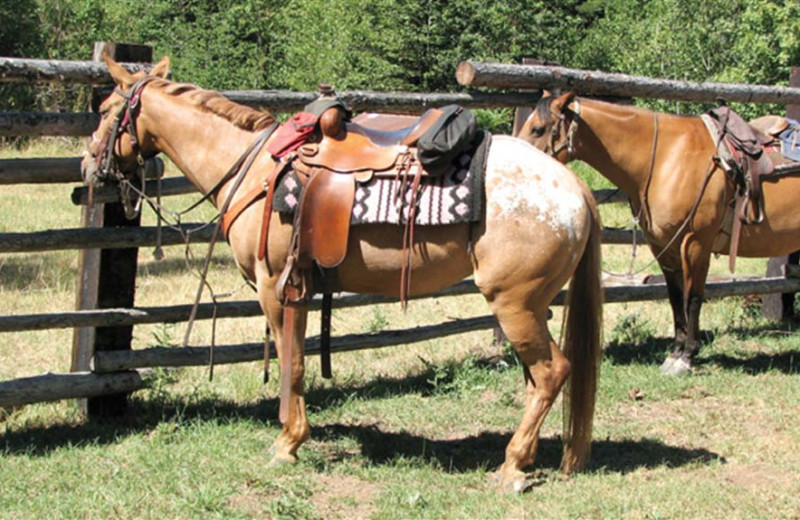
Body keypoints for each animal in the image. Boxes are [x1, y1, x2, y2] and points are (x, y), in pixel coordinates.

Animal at [81, 58, 604, 492]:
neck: (256, 169)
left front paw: (288, 443)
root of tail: (575, 187)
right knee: (538, 379)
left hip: (514, 303)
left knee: (551, 372)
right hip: (532, 307)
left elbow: (292, 362)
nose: (87, 165)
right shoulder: (302, 288)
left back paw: (512, 467)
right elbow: (297, 358)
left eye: (105, 108)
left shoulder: (276, 287)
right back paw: (524, 458)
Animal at [516, 93, 800, 376]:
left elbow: (693, 298)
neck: (668, 157)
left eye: (538, 128)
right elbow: (675, 298)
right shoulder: (664, 246)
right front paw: (675, 354)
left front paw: (687, 357)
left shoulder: (696, 243)